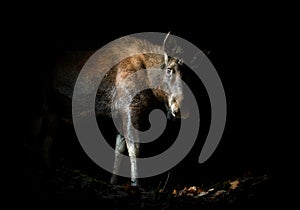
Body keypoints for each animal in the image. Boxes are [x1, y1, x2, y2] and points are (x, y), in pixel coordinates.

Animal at [36, 32, 185, 187]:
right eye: (169, 69)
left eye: (186, 73)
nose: (179, 108)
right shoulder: (130, 109)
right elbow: (135, 149)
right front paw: (135, 184)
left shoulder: (120, 116)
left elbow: (119, 150)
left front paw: (113, 182)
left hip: (53, 110)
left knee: (47, 138)